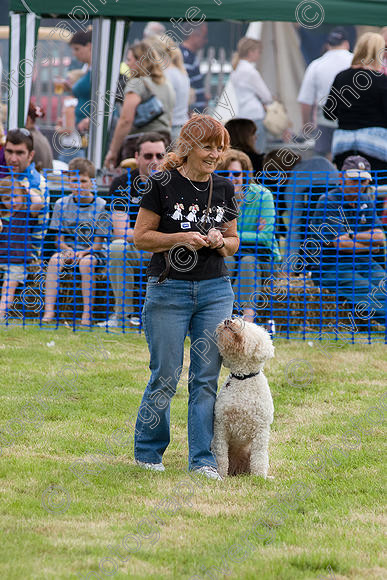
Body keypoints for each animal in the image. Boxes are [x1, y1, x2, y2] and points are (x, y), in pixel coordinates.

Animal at [214, 320, 274, 478]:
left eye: (244, 324)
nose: (228, 320)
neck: (243, 379)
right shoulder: (221, 426)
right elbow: (221, 456)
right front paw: (220, 474)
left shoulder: (261, 430)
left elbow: (259, 457)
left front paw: (259, 478)